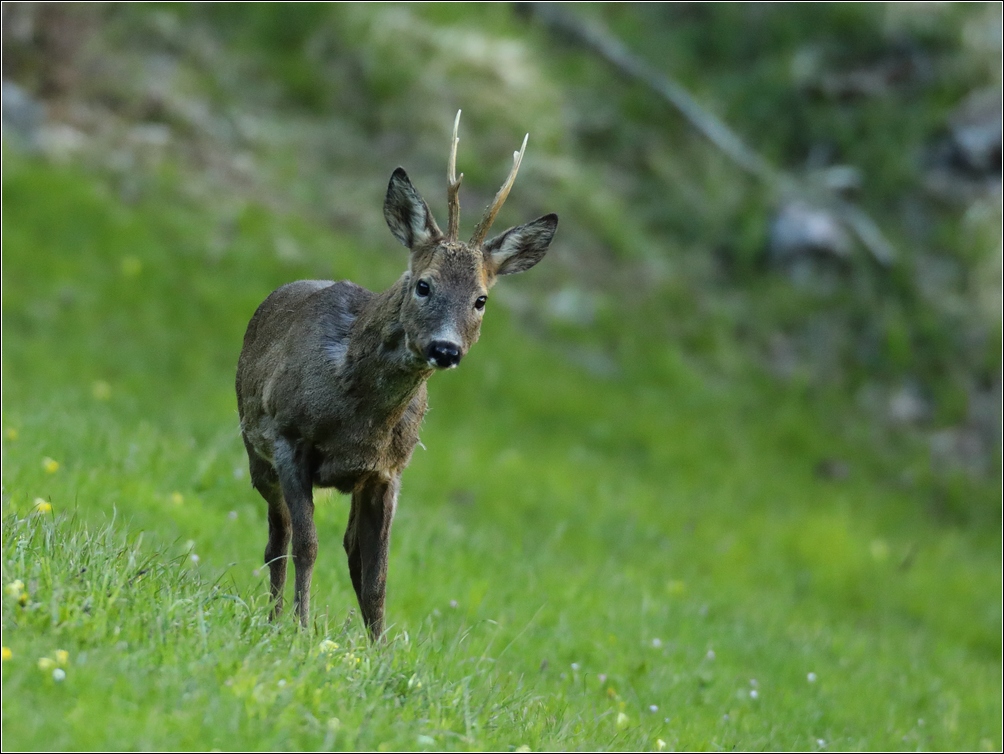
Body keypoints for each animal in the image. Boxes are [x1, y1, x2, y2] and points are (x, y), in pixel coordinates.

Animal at [234, 111, 558, 638]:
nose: (446, 348)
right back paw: (275, 615)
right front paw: (300, 628)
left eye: (481, 299)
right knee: (277, 538)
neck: (358, 417)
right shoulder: (288, 437)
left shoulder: (388, 471)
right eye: (424, 285)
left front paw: (378, 648)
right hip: (254, 446)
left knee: (345, 548)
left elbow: (377, 574)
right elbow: (306, 545)